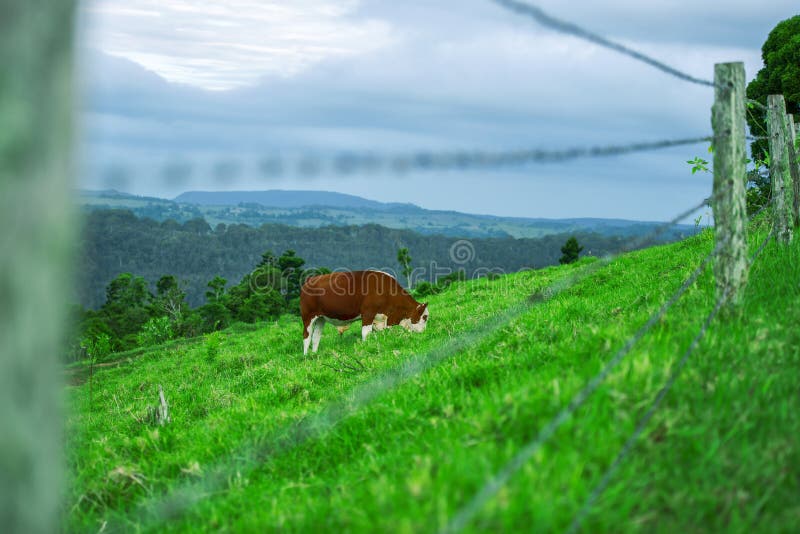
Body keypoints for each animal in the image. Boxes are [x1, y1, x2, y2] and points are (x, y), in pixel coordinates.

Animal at [300, 270, 429, 354]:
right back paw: (306, 357)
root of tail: (309, 281)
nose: (423, 332)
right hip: (308, 317)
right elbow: (366, 333)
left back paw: (315, 355)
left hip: (321, 318)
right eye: (425, 317)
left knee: (316, 337)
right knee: (306, 337)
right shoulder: (368, 313)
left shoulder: (378, 318)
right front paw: (366, 347)